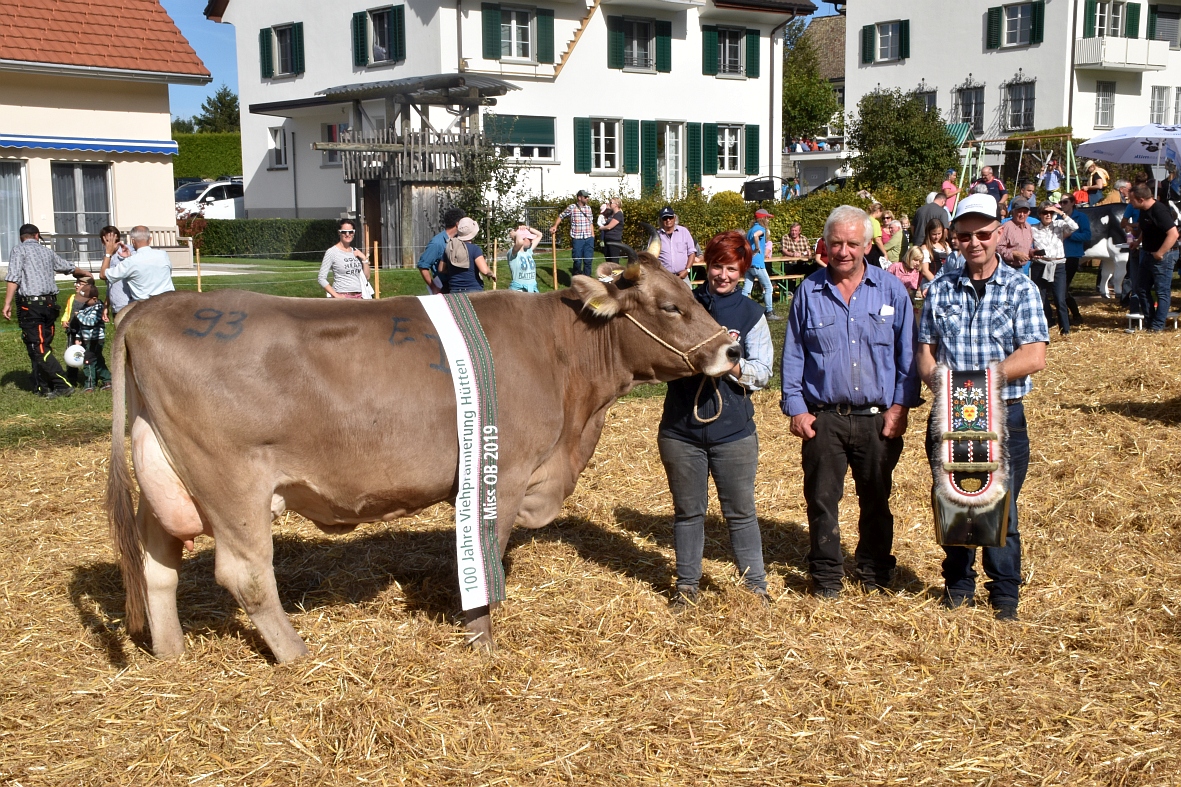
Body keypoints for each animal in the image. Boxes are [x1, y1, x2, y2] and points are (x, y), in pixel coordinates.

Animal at [108, 254, 736, 657]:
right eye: (670, 307)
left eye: (693, 293)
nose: (730, 350)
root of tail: (151, 309)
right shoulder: (504, 473)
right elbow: (491, 552)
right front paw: (482, 638)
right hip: (231, 482)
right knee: (247, 574)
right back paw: (298, 654)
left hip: (164, 475)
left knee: (156, 567)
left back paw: (171, 654)